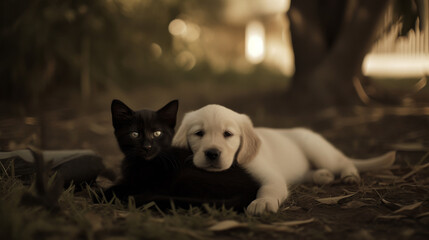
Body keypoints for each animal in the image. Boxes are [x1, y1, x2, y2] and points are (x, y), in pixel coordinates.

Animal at [103, 99, 258, 210]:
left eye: (157, 133)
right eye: (135, 134)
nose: (147, 147)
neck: (142, 164)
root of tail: (252, 189)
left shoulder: (149, 186)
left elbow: (118, 189)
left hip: (185, 177)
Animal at [171, 104, 394, 215]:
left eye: (228, 134)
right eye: (199, 133)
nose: (212, 153)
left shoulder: (270, 175)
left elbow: (269, 189)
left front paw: (262, 203)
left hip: (318, 150)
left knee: (342, 161)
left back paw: (349, 175)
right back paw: (322, 176)